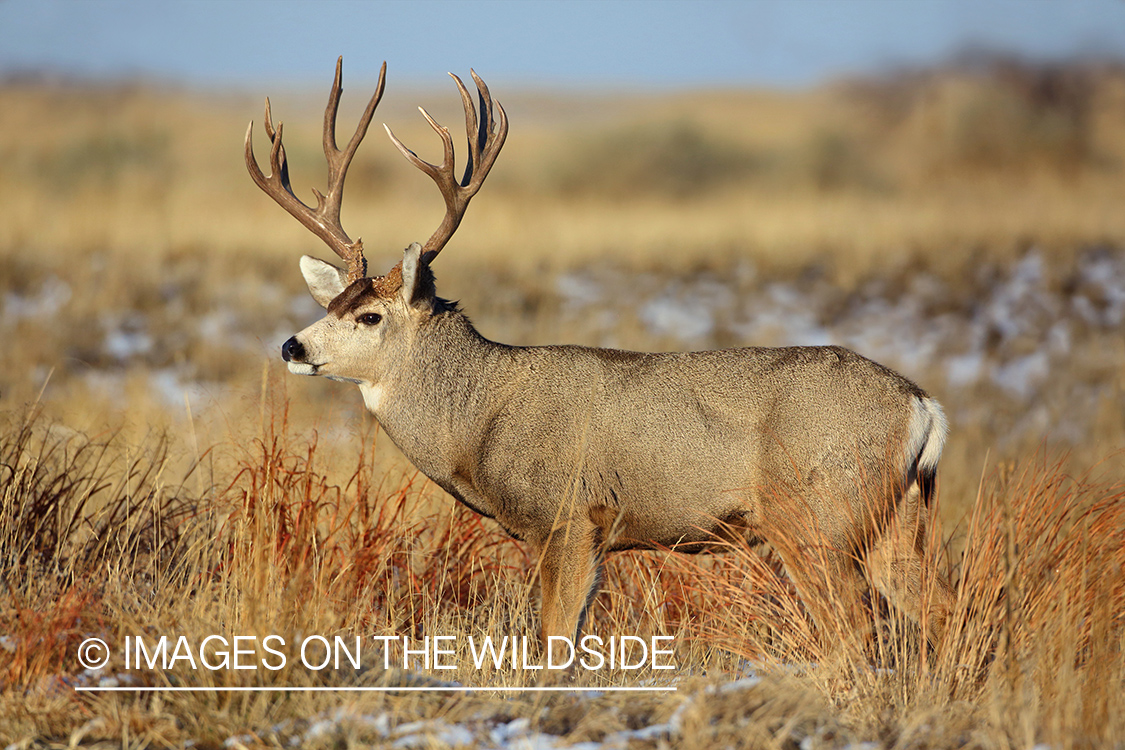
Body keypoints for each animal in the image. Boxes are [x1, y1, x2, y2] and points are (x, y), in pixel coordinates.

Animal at [244, 58, 949, 656]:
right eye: (332, 304)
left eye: (369, 316)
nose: (292, 345)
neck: (478, 420)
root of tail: (922, 406)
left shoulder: (568, 519)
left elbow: (556, 640)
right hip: (896, 516)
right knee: (938, 607)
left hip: (815, 516)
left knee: (858, 626)